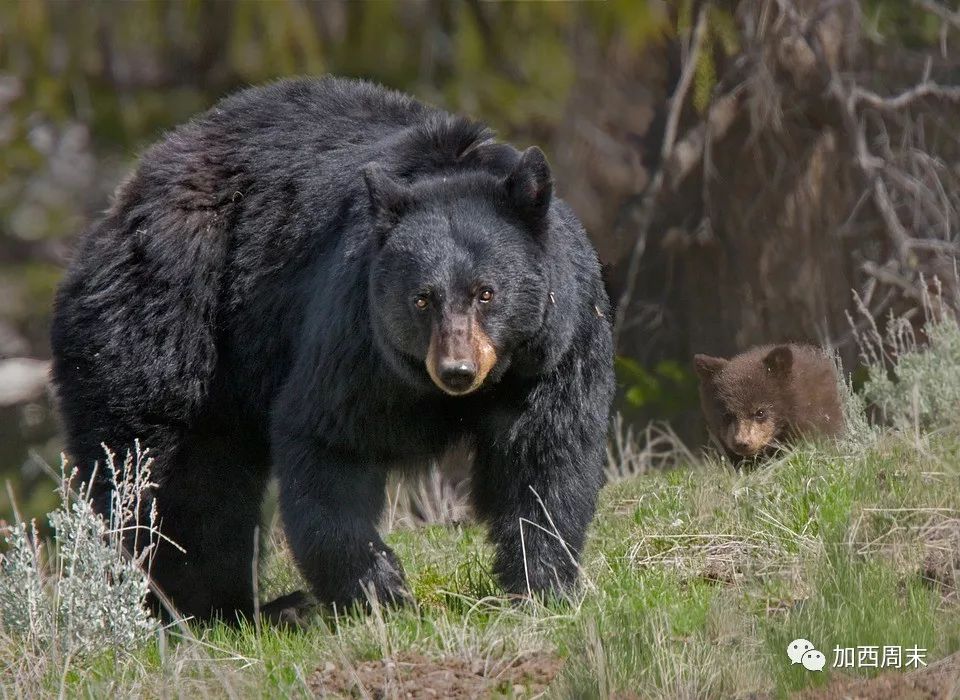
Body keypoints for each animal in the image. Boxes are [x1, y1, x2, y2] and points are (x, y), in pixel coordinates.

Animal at [50, 78, 616, 624]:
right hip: (170, 320)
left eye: (486, 293)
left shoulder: (554, 349)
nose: (457, 370)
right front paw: (380, 590)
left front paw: (541, 585)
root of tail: (122, 202)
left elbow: (545, 455)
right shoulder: (356, 337)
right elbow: (329, 440)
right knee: (170, 475)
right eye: (421, 298)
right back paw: (215, 609)